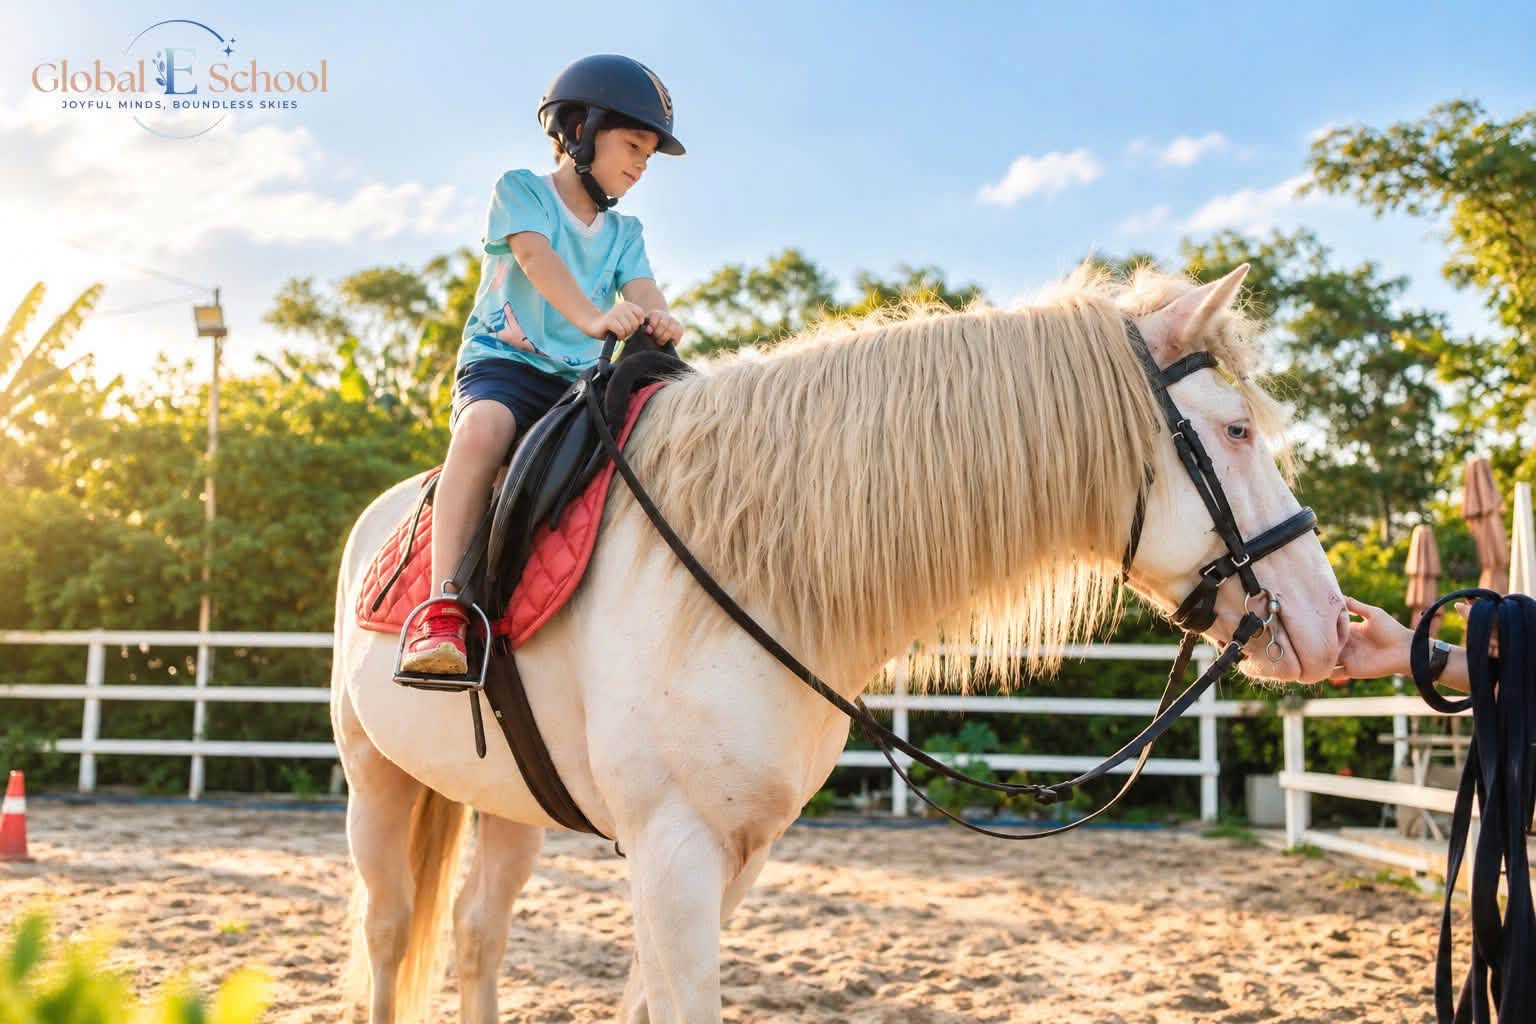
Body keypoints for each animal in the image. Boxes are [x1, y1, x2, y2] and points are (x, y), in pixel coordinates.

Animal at [328, 262, 1349, 1023]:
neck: (740, 563)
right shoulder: (672, 850)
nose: (1331, 623)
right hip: (376, 780)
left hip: (509, 803)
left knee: (475, 933)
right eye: (1237, 429)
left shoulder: (734, 853)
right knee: (389, 929)